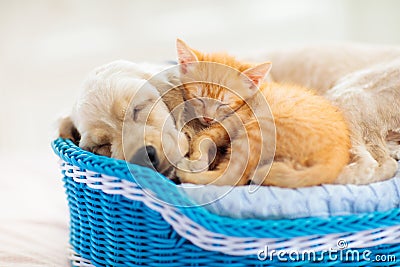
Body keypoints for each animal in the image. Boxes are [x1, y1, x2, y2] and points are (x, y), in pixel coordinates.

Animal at [175, 39, 350, 189]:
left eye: (224, 104)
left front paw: (197, 156)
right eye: (199, 98)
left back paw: (187, 174)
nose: (207, 118)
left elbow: (203, 136)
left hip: (259, 129)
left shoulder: (235, 119)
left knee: (235, 175)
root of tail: (338, 155)